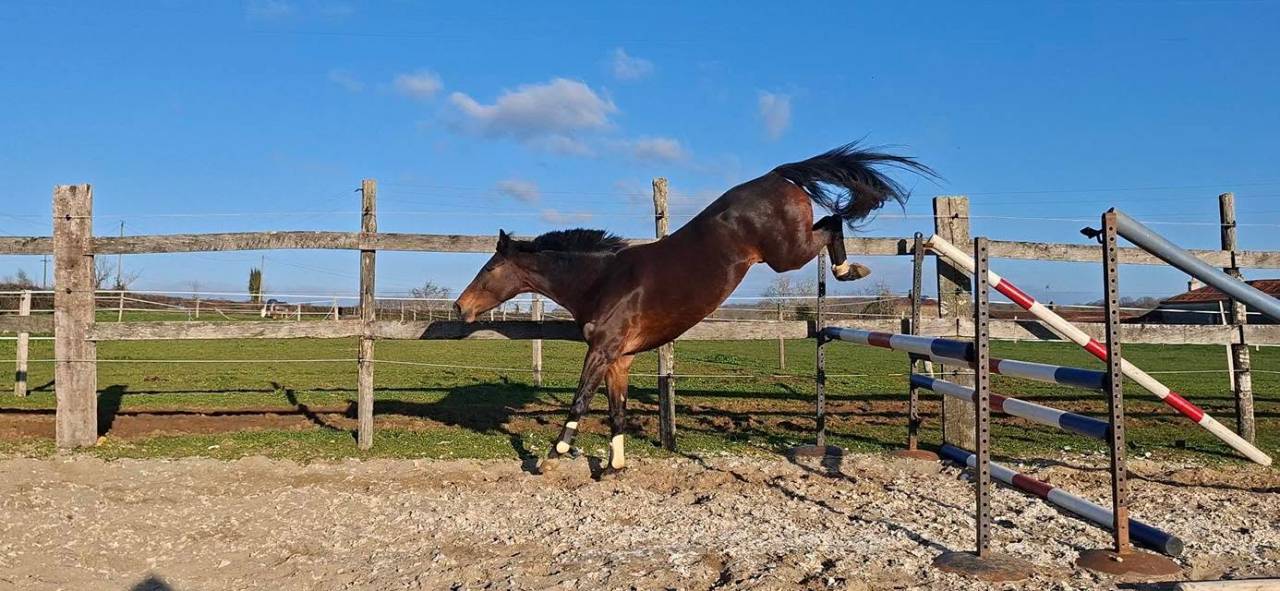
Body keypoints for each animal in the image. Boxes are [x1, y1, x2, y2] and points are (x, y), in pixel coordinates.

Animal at [454, 144, 933, 475]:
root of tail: (775, 175)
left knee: (833, 222)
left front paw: (552, 457)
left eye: (489, 268)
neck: (603, 279)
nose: (460, 307)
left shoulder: (602, 351)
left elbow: (579, 402)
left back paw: (849, 268)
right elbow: (616, 410)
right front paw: (613, 466)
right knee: (832, 221)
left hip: (787, 253)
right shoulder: (619, 360)